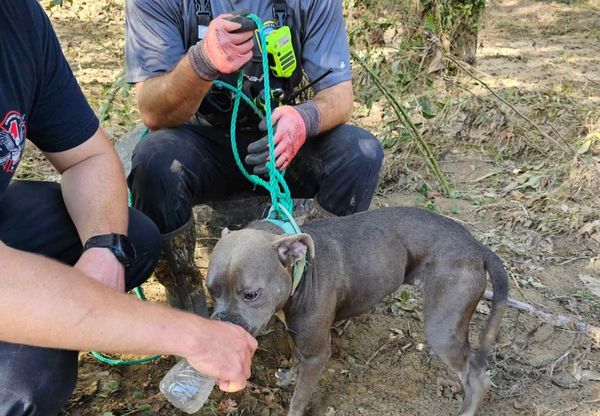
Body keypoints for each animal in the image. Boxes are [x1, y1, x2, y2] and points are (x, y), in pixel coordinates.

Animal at [205, 206, 506, 414]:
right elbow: (296, 357)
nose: (223, 325)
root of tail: (475, 244)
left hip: (442, 325)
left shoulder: (318, 353)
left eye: (251, 294)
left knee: (478, 379)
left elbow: (299, 398)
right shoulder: (299, 336)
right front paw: (289, 376)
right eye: (211, 290)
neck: (300, 271)